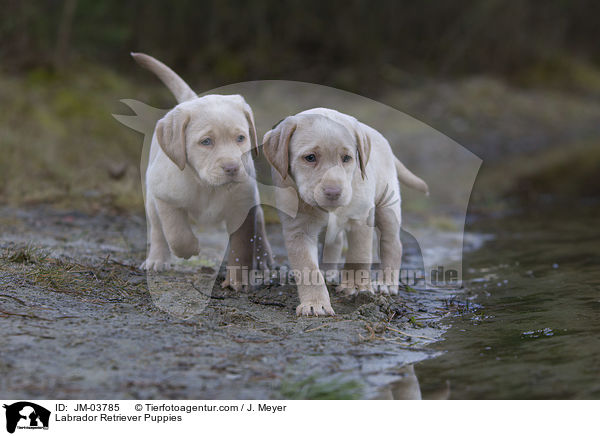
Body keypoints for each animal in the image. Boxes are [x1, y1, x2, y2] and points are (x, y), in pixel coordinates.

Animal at [262, 107, 426, 316]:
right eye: (310, 157)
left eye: (347, 158)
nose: (334, 192)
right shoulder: (298, 230)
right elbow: (308, 268)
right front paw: (315, 303)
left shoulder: (360, 219)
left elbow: (358, 255)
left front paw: (356, 287)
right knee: (336, 241)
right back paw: (328, 272)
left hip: (387, 207)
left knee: (392, 244)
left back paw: (386, 283)